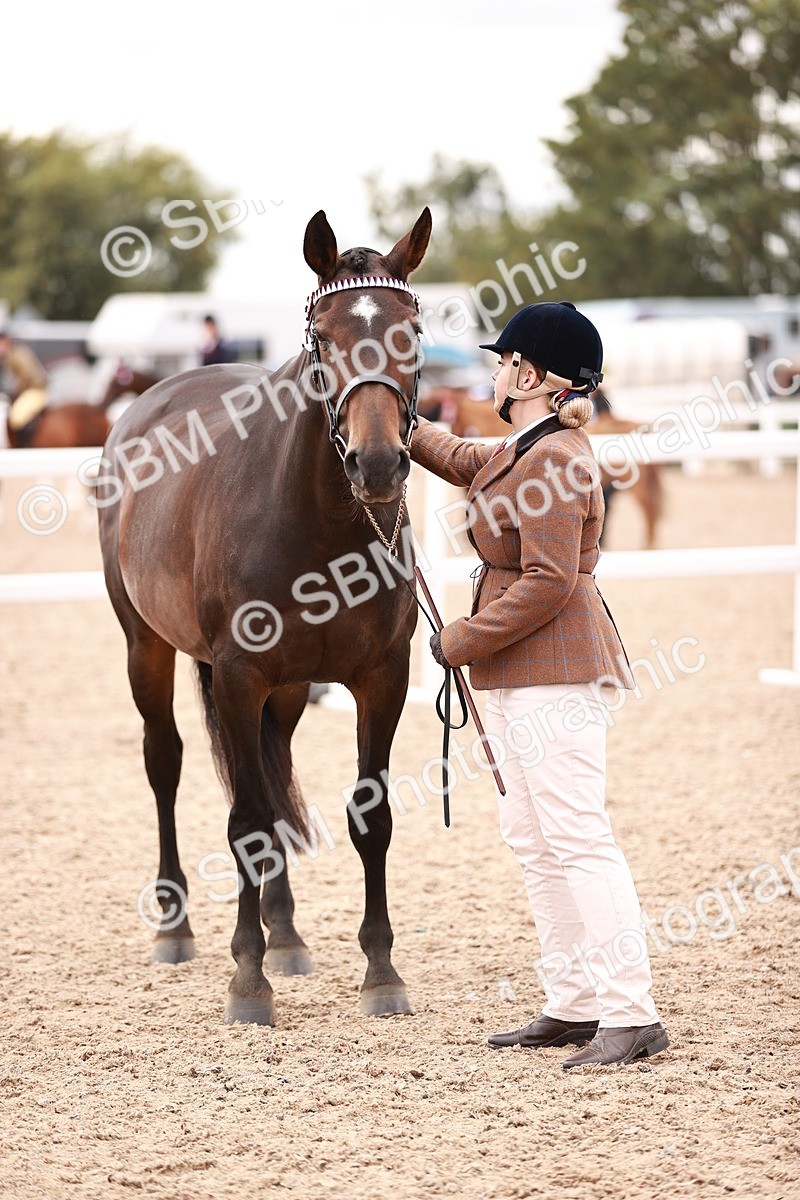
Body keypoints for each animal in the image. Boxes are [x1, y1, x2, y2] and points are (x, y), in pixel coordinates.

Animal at [98, 207, 432, 1026]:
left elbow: (368, 816)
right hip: (146, 647)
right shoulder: (239, 675)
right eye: (324, 337)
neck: (320, 521)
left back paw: (284, 932)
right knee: (167, 763)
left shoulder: (383, 678)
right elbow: (245, 821)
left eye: (412, 331)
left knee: (273, 773)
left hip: (287, 691)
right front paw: (246, 980)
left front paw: (381, 971)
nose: (379, 463)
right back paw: (177, 924)